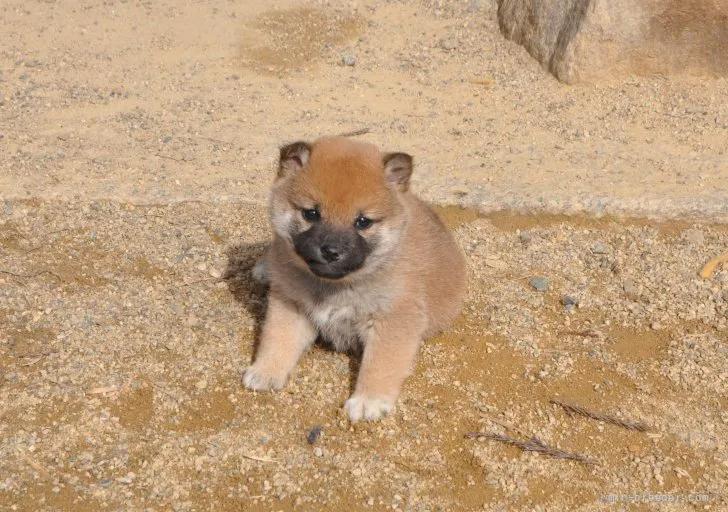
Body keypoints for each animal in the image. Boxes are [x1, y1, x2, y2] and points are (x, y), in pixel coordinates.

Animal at [245, 135, 466, 420]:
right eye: (311, 213)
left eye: (363, 222)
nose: (331, 251)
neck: (335, 286)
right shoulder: (290, 304)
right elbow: (277, 338)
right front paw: (266, 370)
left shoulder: (393, 319)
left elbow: (380, 363)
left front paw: (368, 400)